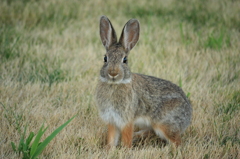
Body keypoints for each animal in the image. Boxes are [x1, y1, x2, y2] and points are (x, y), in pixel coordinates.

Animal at [94, 15, 192, 148]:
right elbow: (112, 138)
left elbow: (126, 138)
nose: (113, 73)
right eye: (105, 58)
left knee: (177, 142)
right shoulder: (112, 119)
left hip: (164, 124)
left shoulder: (126, 119)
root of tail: (188, 115)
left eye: (125, 60)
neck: (115, 84)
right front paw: (109, 149)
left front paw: (125, 149)